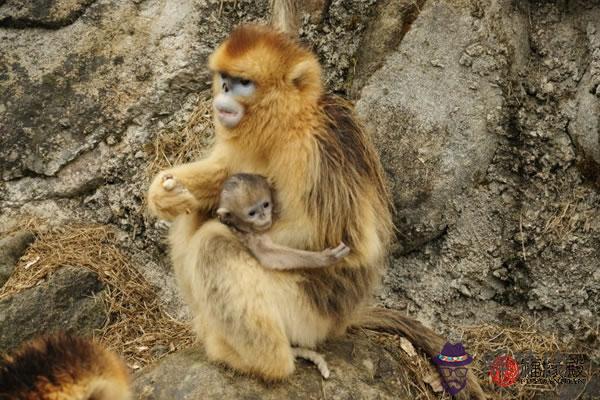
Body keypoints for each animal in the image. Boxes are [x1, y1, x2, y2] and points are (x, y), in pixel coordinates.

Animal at [217, 173, 350, 270]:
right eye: (252, 213)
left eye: (265, 205)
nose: (263, 216)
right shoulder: (247, 234)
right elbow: (268, 256)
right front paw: (326, 258)